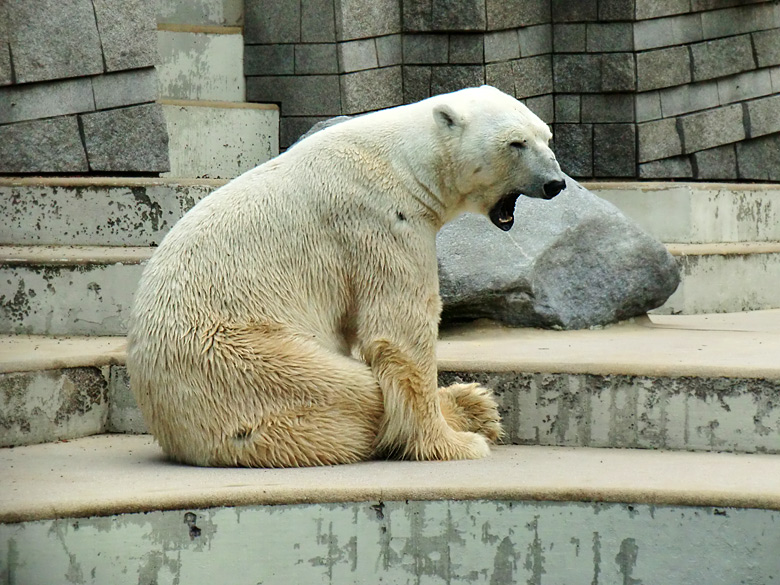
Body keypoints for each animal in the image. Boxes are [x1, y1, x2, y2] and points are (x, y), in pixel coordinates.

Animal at [128, 85, 568, 466]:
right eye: (516, 143)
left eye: (546, 137)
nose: (556, 183)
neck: (405, 164)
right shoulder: (379, 220)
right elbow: (400, 329)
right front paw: (451, 444)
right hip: (244, 360)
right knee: (350, 391)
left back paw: (474, 403)